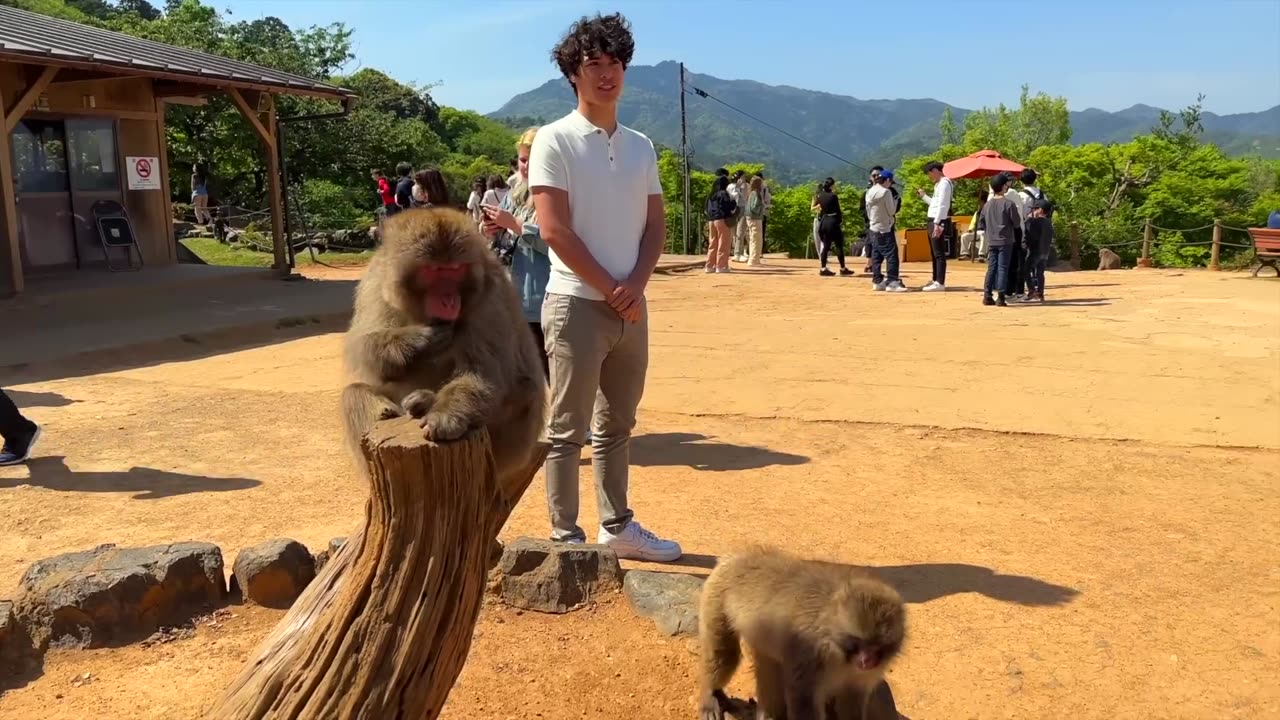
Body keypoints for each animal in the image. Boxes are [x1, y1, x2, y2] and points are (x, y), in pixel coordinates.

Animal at [340, 204, 545, 489]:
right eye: (434, 271)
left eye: (456, 269)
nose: (449, 300)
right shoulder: (376, 282)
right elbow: (363, 347)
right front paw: (420, 339)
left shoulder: (489, 296)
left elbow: (483, 372)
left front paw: (446, 416)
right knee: (353, 393)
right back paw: (393, 410)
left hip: (510, 450)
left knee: (524, 388)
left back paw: (424, 401)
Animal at [701, 543, 911, 717]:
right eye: (856, 641)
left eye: (877, 646)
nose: (867, 661)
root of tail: (736, 555)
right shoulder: (810, 652)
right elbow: (804, 700)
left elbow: (852, 698)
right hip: (716, 596)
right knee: (725, 654)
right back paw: (709, 695)